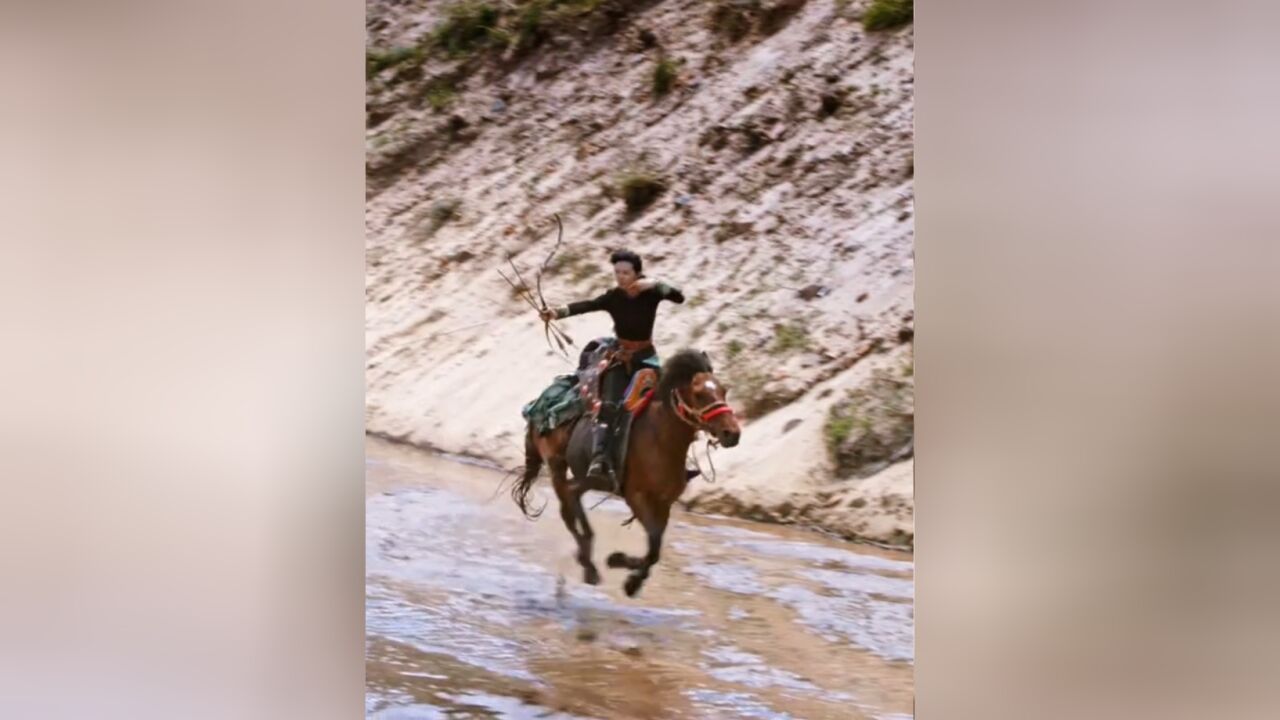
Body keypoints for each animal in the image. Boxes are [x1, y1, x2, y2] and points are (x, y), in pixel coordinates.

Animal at [506, 348, 742, 594]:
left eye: (723, 391)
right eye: (699, 394)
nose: (732, 434)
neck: (660, 440)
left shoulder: (664, 503)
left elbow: (655, 549)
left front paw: (627, 573)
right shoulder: (636, 497)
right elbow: (654, 542)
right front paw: (625, 572)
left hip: (587, 478)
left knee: (573, 496)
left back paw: (586, 557)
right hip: (556, 466)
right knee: (568, 510)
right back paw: (588, 565)